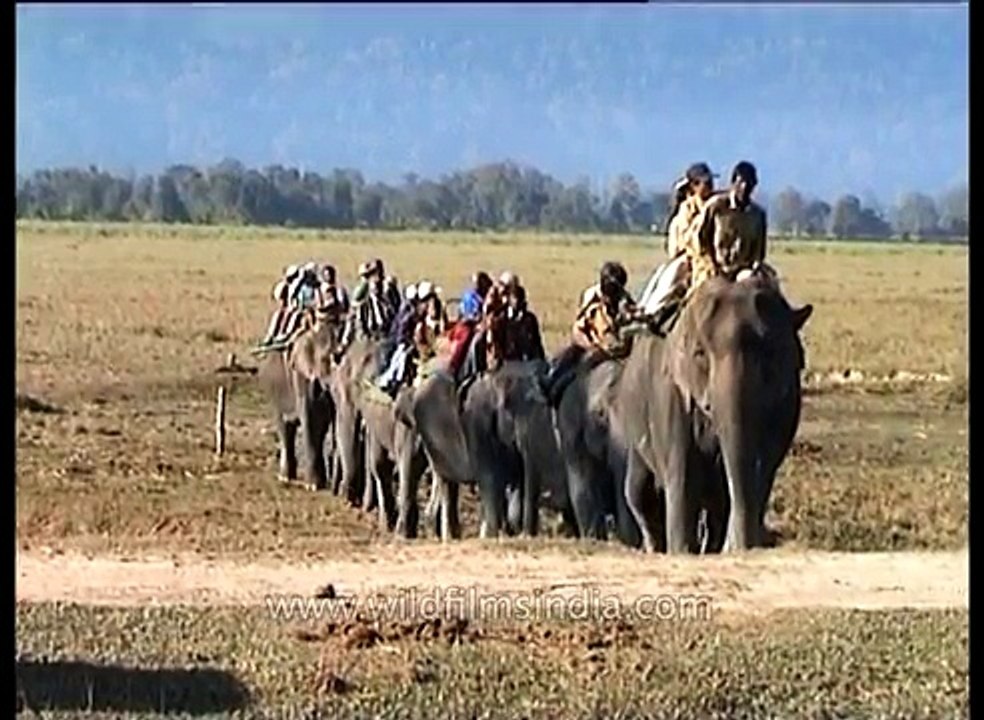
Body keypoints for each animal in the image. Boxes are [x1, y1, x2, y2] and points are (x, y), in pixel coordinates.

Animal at [256, 318, 343, 491]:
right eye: (329, 359)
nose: (335, 489)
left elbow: (322, 424)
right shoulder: (301, 376)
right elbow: (311, 418)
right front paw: (313, 486)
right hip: (273, 391)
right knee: (284, 427)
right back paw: (285, 478)